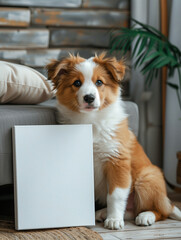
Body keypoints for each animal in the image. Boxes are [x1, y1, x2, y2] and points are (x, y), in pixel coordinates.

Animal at [46, 53, 181, 230]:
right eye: (77, 83)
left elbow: (115, 196)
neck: (91, 121)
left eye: (99, 82)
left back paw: (145, 216)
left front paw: (114, 220)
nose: (89, 98)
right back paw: (101, 213)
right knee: (131, 210)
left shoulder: (117, 161)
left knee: (159, 211)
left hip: (147, 177)